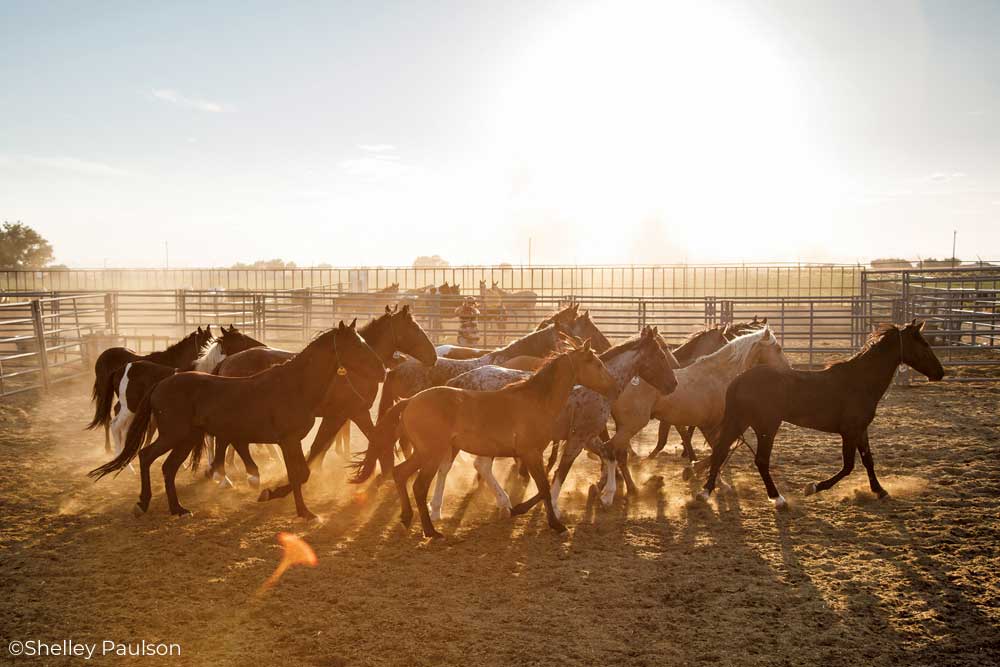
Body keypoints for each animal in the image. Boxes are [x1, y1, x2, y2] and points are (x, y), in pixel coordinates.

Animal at [90, 324, 382, 520]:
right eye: (356, 345)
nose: (381, 369)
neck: (294, 385)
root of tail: (161, 384)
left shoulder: (292, 440)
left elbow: (302, 472)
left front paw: (283, 500)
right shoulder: (288, 440)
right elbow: (299, 473)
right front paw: (298, 508)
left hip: (187, 439)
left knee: (168, 467)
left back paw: (178, 508)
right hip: (174, 435)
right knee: (145, 455)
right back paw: (143, 503)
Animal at [352, 342, 616, 540]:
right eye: (597, 364)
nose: (612, 387)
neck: (535, 401)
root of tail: (410, 401)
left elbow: (545, 485)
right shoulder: (531, 453)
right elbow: (543, 486)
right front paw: (555, 524)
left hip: (423, 453)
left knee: (400, 473)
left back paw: (407, 518)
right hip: (431, 453)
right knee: (418, 485)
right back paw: (431, 531)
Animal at [700, 320, 940, 508]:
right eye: (925, 344)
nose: (940, 372)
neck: (860, 380)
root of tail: (739, 379)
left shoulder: (861, 430)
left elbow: (868, 460)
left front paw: (880, 491)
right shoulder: (849, 432)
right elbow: (848, 466)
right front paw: (813, 487)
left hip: (740, 421)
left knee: (720, 451)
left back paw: (705, 492)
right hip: (766, 427)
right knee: (760, 460)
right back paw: (777, 498)